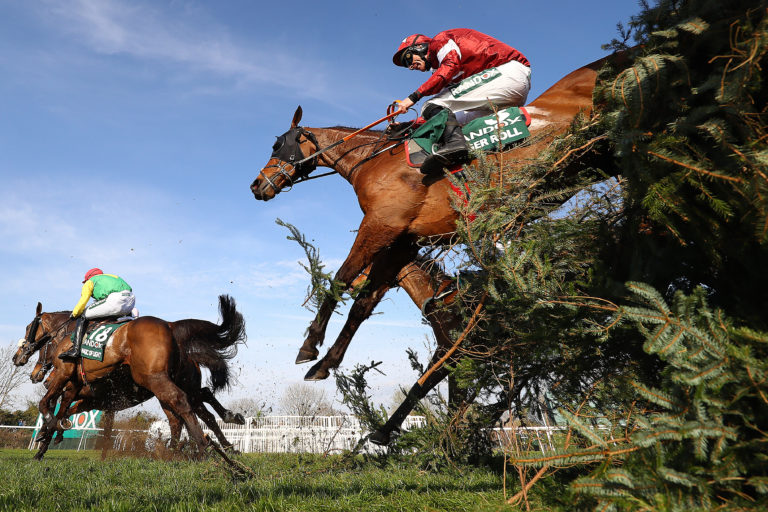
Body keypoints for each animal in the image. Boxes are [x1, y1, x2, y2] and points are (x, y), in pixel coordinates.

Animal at [13, 296, 244, 460]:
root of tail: (170, 325)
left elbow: (49, 405)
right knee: (194, 409)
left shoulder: (68, 381)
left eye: (28, 329)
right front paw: (49, 437)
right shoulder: (87, 397)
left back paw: (204, 447)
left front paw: (45, 438)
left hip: (156, 380)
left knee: (184, 405)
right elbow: (65, 412)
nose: (18, 358)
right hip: (175, 384)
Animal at [252, 54, 624, 442]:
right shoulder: (404, 238)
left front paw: (309, 346)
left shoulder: (382, 224)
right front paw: (326, 364)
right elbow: (363, 305)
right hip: (596, 158)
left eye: (277, 145)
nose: (256, 185)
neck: (374, 158)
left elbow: (340, 280)